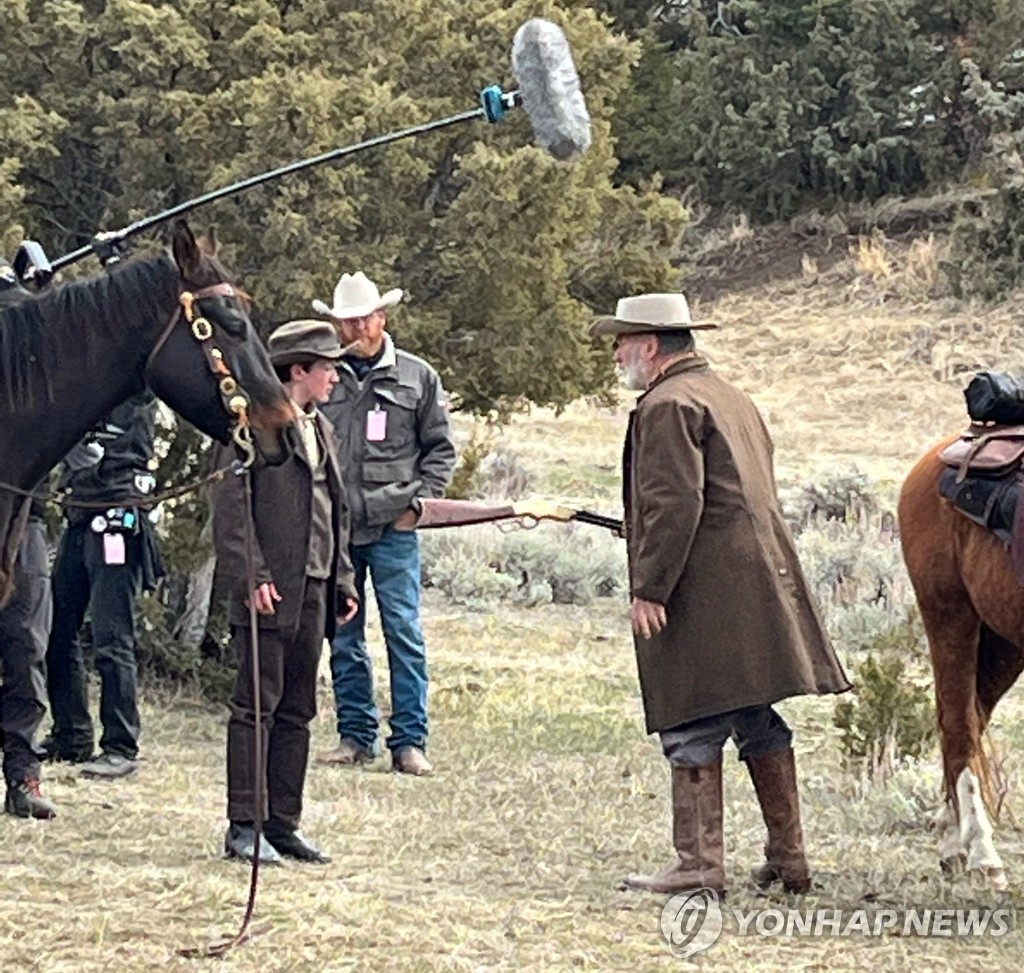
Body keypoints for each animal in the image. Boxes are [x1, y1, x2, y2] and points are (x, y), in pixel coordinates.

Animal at [897, 440, 1024, 893]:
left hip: (1004, 643)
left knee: (973, 719)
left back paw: (953, 839)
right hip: (950, 615)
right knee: (959, 727)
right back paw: (982, 855)